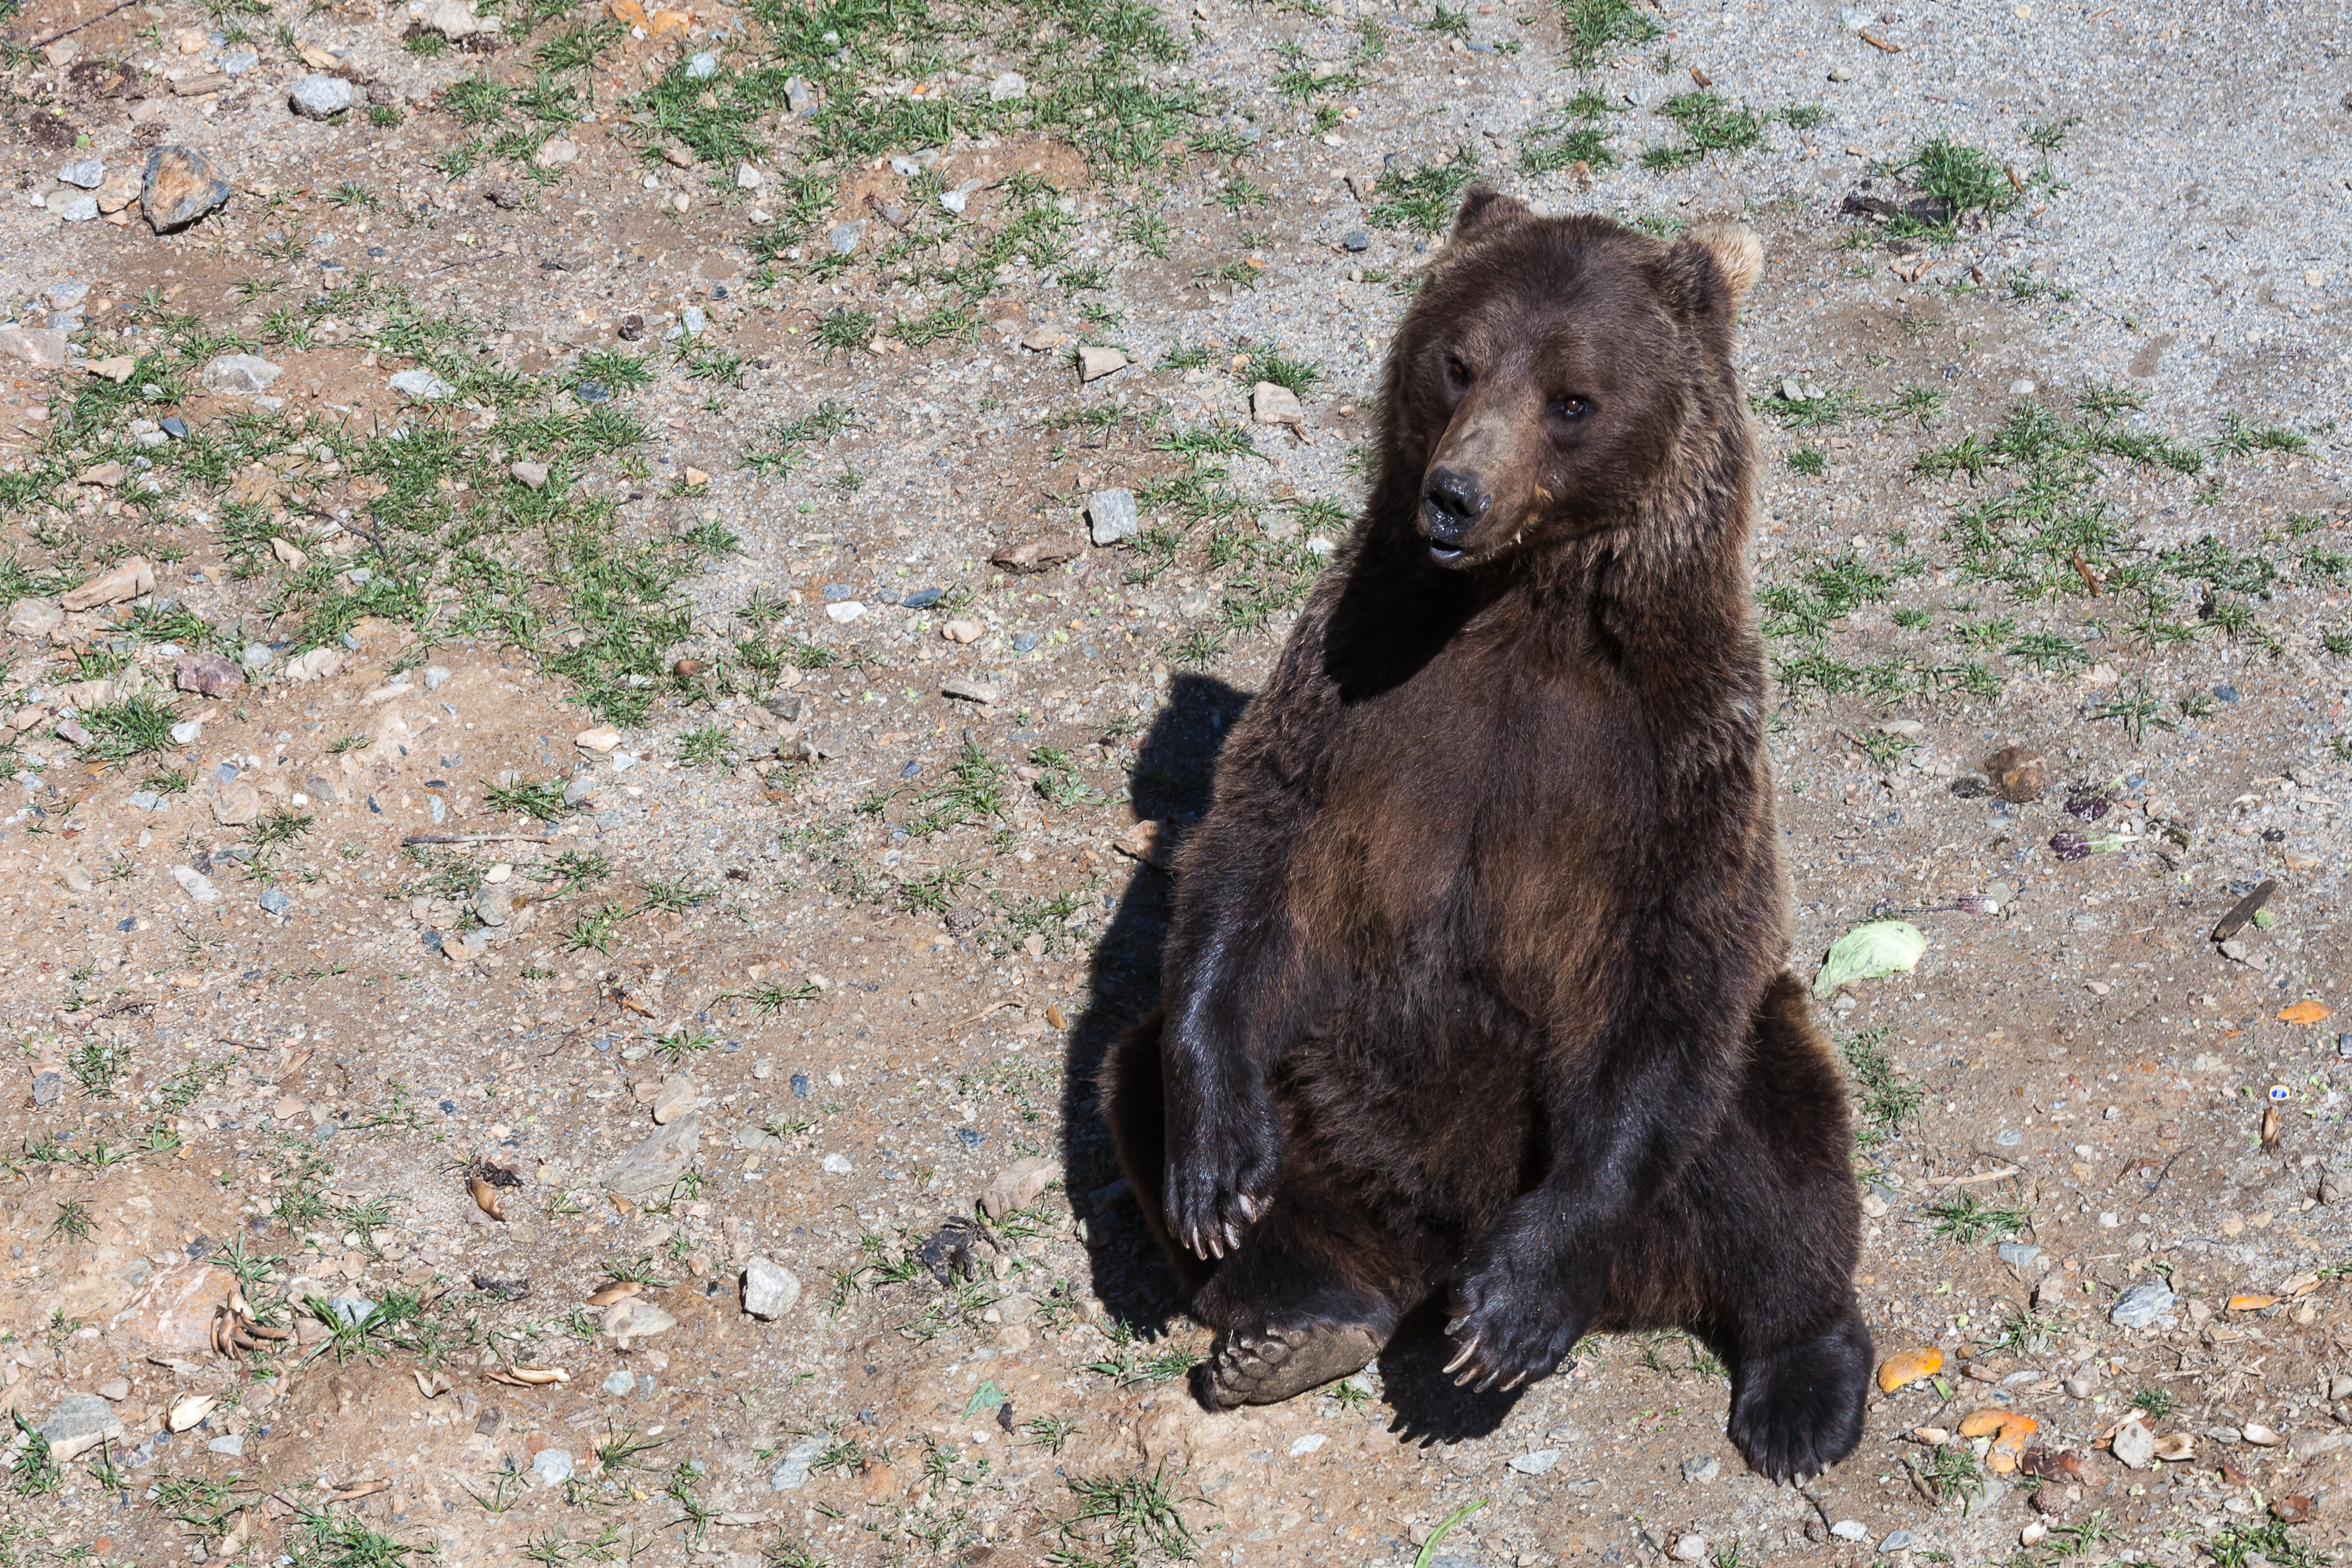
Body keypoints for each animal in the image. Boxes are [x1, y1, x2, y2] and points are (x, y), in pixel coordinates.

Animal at [1098, 189, 1872, 1484]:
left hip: (1657, 1118)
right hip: (1336, 1093)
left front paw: (1514, 1311)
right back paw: (1297, 1321)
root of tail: (1437, 1241)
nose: (1452, 494)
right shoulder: (1351, 681)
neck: (1524, 607)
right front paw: (1213, 1173)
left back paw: (1797, 1389)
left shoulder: (1683, 747)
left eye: (1573, 397)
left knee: (1769, 1146)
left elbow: (1678, 962)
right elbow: (1248, 859)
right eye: (1456, 361)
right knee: (1139, 1074)